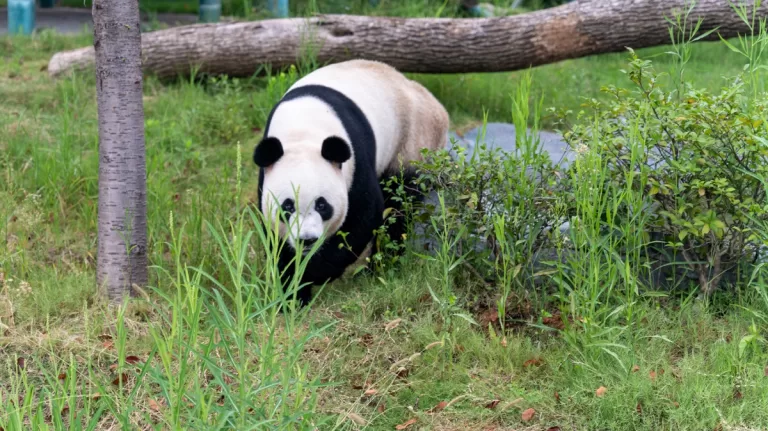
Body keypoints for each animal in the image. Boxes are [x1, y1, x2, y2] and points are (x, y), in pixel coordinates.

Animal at [253, 59, 449, 307]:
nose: (307, 240)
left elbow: (363, 217)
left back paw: (378, 267)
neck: (303, 131)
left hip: (413, 140)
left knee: (400, 205)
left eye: (322, 205)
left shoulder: (355, 160)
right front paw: (293, 294)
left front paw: (315, 272)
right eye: (287, 206)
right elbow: (276, 241)